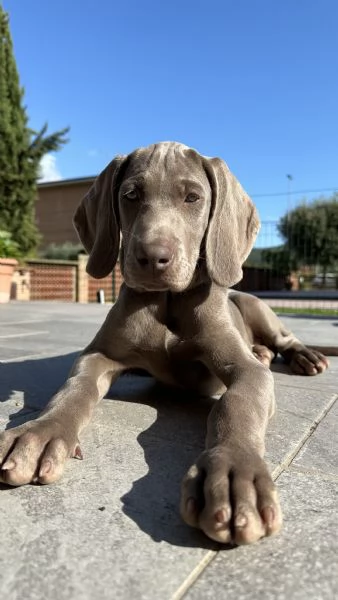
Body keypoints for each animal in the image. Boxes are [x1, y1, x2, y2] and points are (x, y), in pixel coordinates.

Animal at [1, 143, 336, 548]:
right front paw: (39, 432)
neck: (167, 301)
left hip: (253, 303)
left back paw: (301, 356)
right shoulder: (99, 355)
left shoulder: (245, 371)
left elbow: (237, 404)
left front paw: (233, 473)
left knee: (283, 338)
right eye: (130, 195)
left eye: (193, 197)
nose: (151, 258)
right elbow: (74, 389)